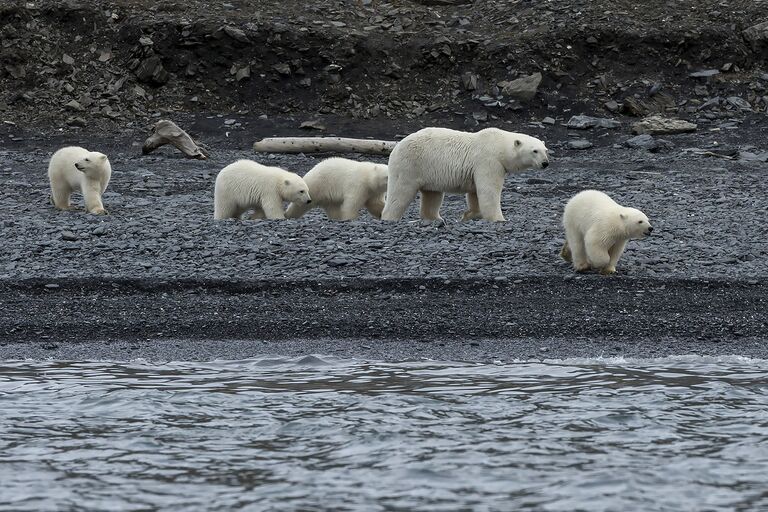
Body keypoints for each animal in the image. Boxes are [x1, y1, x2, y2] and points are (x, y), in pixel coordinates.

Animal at [380, 127, 548, 221]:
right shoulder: (488, 161)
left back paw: (436, 218)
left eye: (545, 150)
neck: (498, 146)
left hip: (428, 170)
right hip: (410, 165)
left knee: (433, 195)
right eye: (535, 151)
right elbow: (489, 191)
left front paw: (469, 215)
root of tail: (396, 146)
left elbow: (475, 194)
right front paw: (500, 219)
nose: (545, 163)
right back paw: (389, 217)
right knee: (400, 193)